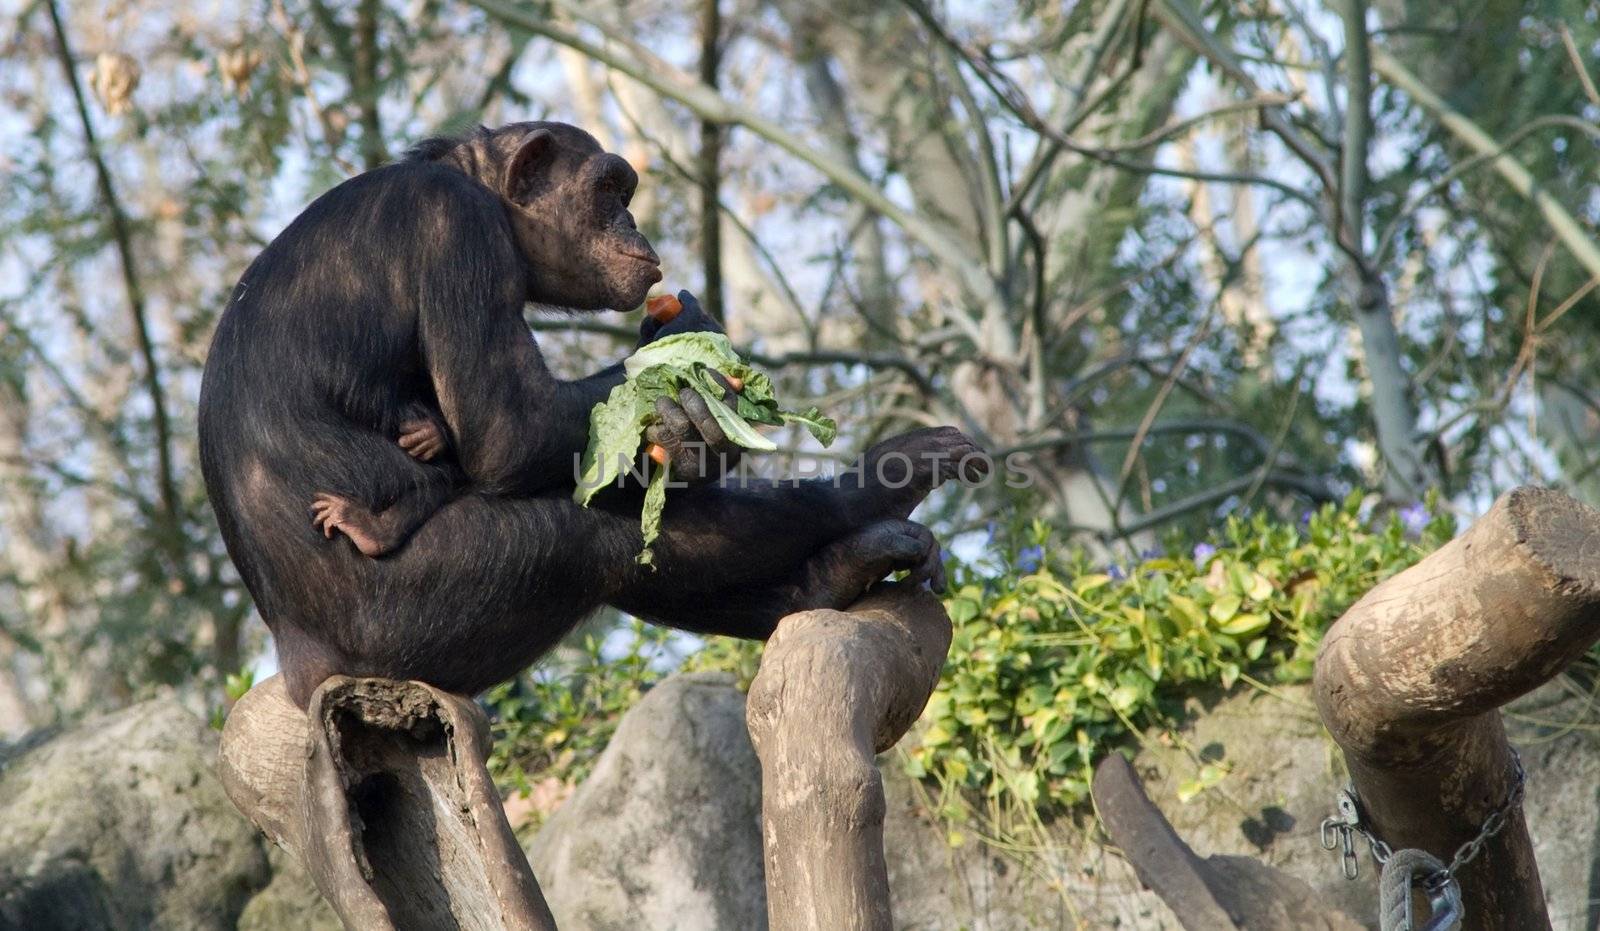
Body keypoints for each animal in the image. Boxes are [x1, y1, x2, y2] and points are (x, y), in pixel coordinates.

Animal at [193, 122, 979, 707]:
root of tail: (302, 672)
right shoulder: (457, 226)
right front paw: (689, 367)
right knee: (593, 536)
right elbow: (510, 429)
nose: (633, 216)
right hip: (401, 627)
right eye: (608, 189)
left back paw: (834, 574)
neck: (476, 186)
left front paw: (694, 424)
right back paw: (872, 489)